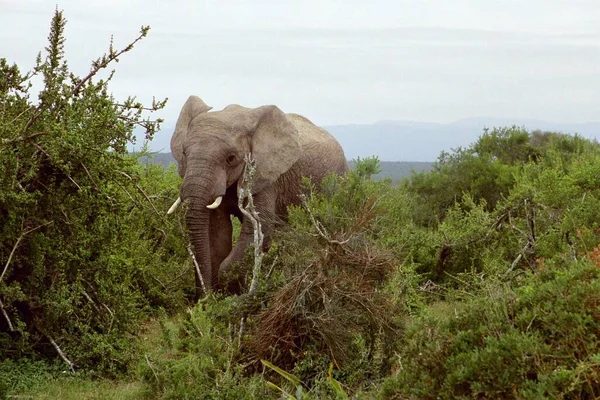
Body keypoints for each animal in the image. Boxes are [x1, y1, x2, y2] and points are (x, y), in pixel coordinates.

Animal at [166, 95, 350, 298]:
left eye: (231, 158)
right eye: (184, 153)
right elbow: (217, 232)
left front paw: (229, 290)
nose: (204, 297)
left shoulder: (267, 177)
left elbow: (258, 228)